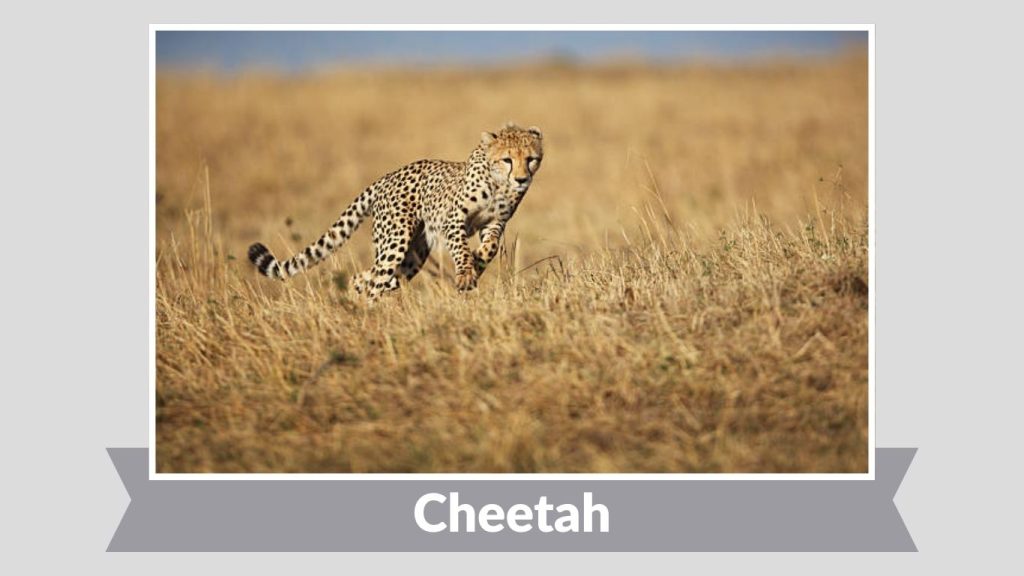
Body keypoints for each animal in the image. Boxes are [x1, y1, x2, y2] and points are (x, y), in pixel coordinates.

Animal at [247, 123, 543, 299]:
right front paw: (466, 271)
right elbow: (460, 248)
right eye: (507, 159)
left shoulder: (495, 223)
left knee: (365, 278)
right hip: (396, 241)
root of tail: (385, 177)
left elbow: (489, 247)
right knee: (375, 280)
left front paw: (476, 264)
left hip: (412, 256)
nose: (521, 179)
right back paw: (370, 318)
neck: (499, 184)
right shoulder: (453, 219)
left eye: (531, 159)